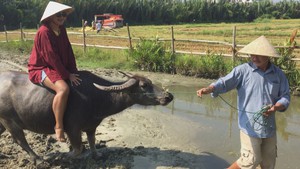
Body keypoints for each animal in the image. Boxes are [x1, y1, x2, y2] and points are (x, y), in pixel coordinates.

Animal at [0, 70, 173, 165]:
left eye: (150, 81)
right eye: (144, 85)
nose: (168, 96)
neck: (97, 96)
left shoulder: (91, 126)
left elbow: (92, 141)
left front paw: (97, 155)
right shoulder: (72, 129)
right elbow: (78, 149)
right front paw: (60, 156)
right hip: (9, 121)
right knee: (20, 140)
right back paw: (39, 159)